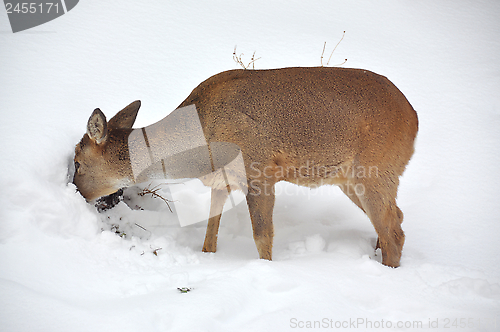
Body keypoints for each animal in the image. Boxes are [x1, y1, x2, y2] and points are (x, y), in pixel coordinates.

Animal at [73, 67, 418, 268]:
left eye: (77, 161)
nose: (75, 192)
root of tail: (414, 118)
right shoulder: (220, 179)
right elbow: (210, 232)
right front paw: (208, 258)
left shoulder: (259, 170)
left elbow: (262, 236)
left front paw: (266, 271)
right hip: (349, 179)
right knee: (395, 219)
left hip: (376, 169)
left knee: (395, 230)